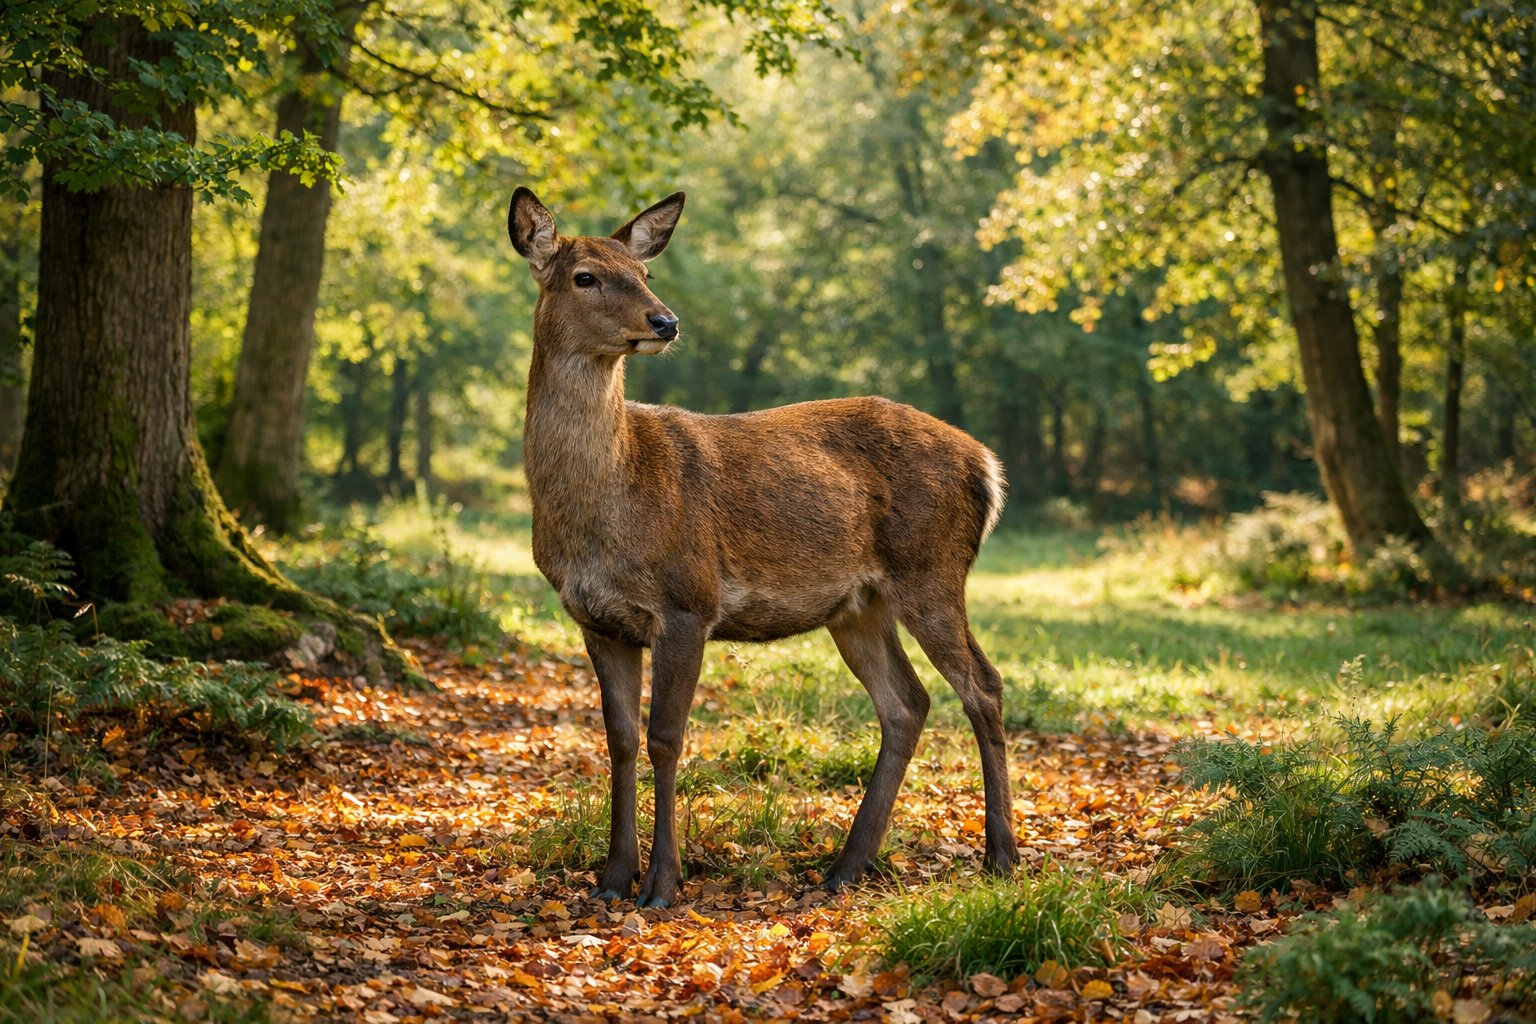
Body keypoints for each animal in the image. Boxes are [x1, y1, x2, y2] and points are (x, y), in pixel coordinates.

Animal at [508, 187, 1018, 908]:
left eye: (644, 272)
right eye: (584, 277)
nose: (664, 321)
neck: (611, 501)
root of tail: (987, 467)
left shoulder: (688, 601)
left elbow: (666, 739)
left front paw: (661, 883)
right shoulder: (597, 620)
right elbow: (621, 740)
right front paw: (611, 879)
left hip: (933, 569)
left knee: (983, 685)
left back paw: (1001, 856)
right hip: (858, 606)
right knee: (907, 702)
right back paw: (846, 866)